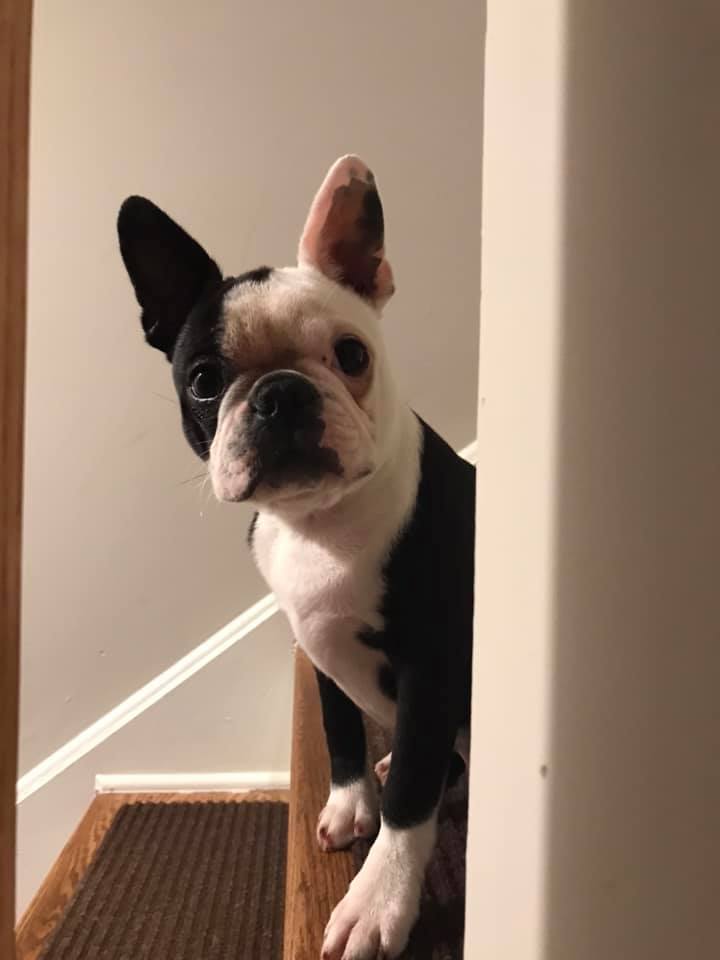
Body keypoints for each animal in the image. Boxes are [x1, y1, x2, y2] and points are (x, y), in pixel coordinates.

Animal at [117, 155, 475, 959]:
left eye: (351, 355)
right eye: (204, 380)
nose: (280, 394)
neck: (318, 521)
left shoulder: (431, 662)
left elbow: (411, 798)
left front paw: (379, 899)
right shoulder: (311, 642)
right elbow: (338, 729)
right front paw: (349, 803)